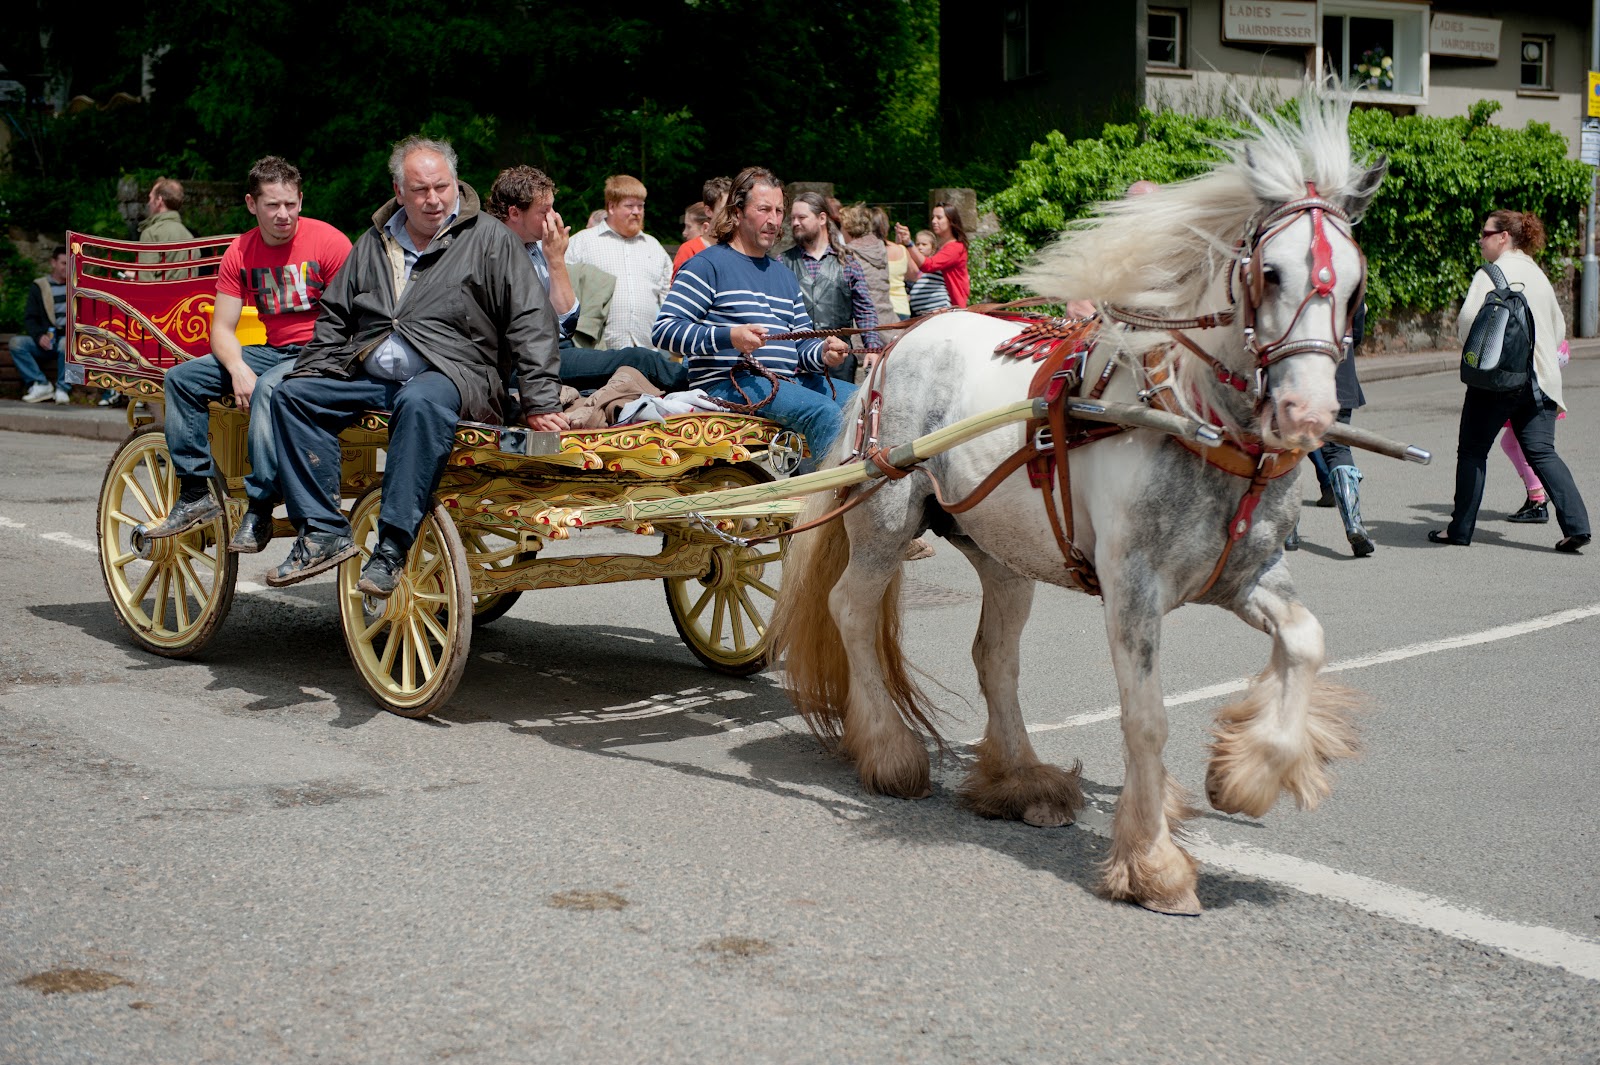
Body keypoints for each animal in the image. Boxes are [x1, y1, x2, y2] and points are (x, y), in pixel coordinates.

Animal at [768, 91, 1382, 908]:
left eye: (1354, 284)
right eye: (1273, 272)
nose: (1308, 415)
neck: (1196, 420)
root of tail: (895, 344)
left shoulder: (1245, 576)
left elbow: (1306, 642)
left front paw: (1246, 774)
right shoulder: (1133, 589)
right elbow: (1146, 718)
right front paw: (1152, 861)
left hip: (1004, 550)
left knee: (993, 657)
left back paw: (1020, 779)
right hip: (887, 521)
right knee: (852, 611)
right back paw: (892, 753)